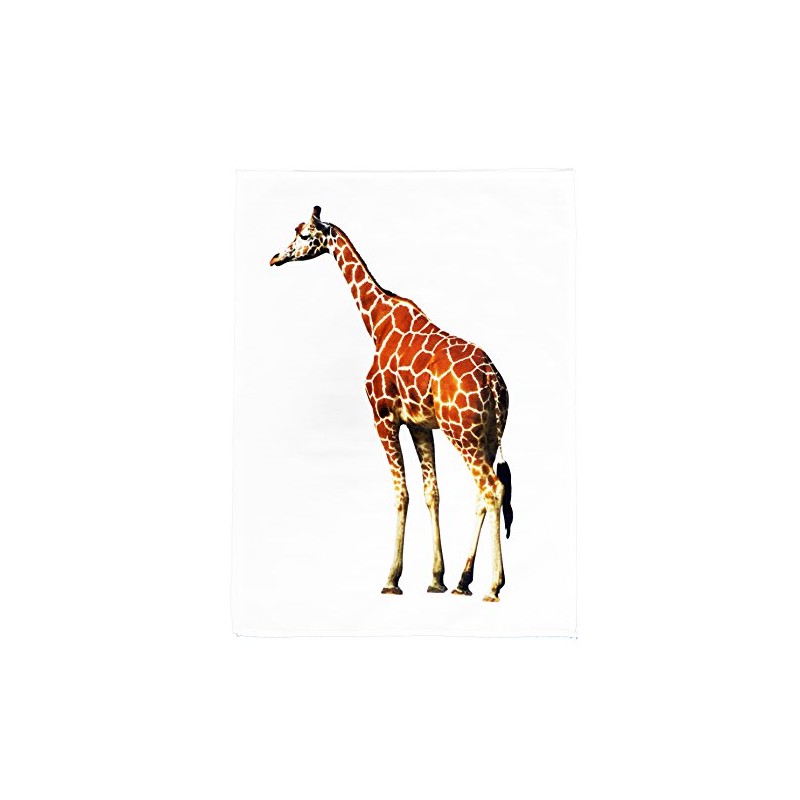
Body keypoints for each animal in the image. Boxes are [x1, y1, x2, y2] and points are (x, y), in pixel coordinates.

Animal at [269, 207, 514, 601]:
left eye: (304, 235)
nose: (275, 257)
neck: (376, 323)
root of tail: (493, 381)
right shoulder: (419, 425)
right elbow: (432, 493)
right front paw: (436, 578)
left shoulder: (382, 417)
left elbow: (402, 493)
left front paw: (391, 578)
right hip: (488, 435)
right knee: (485, 491)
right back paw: (463, 582)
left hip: (462, 433)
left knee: (492, 488)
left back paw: (493, 586)